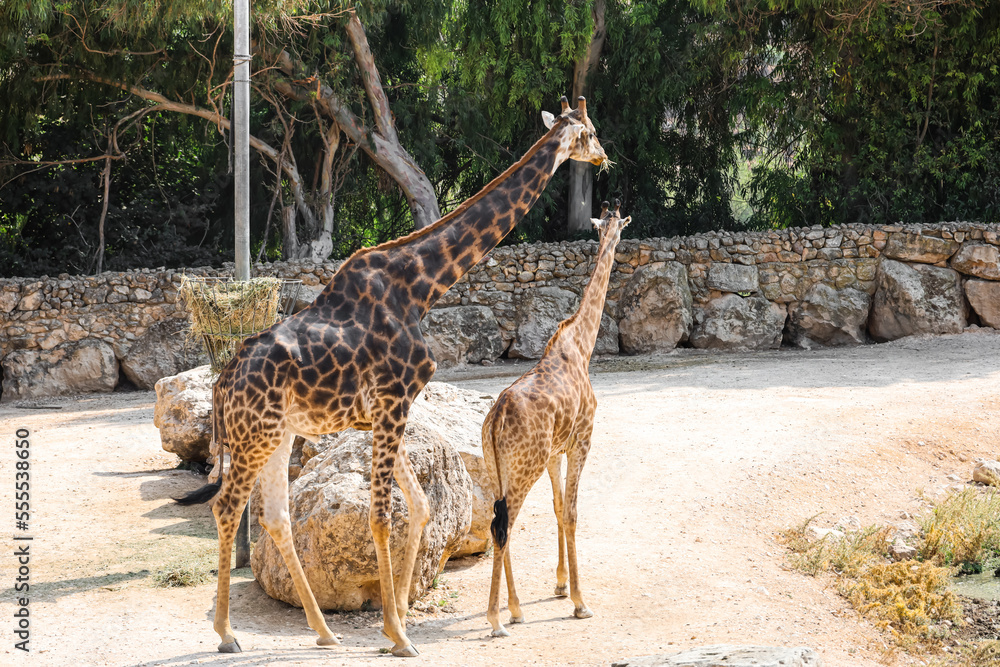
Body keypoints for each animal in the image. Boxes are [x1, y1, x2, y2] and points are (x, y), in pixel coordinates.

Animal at [174, 96, 608, 656]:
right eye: (590, 132)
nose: (605, 160)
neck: (421, 288)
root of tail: (221, 383)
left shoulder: (383, 413)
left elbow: (418, 507)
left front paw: (393, 621)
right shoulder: (394, 401)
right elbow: (383, 516)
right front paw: (400, 636)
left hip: (277, 435)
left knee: (275, 516)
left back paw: (325, 632)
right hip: (255, 437)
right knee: (228, 509)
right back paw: (227, 634)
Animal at [482, 197, 632, 636]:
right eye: (618, 227)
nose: (618, 241)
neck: (581, 346)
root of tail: (495, 420)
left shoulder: (554, 452)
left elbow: (557, 507)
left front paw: (562, 585)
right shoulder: (583, 439)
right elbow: (573, 511)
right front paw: (581, 601)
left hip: (498, 468)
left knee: (498, 523)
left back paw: (515, 609)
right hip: (522, 467)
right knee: (503, 526)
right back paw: (497, 619)